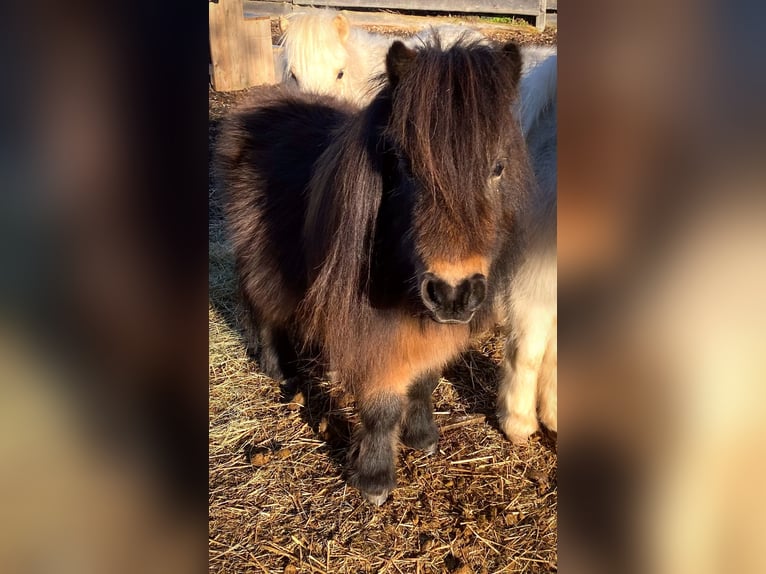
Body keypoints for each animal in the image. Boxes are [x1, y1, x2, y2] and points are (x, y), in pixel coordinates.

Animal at [215, 37, 535, 504]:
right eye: (405, 165)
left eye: (497, 168)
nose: (452, 293)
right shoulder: (372, 336)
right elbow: (382, 408)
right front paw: (375, 479)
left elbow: (424, 382)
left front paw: (423, 438)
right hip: (264, 263)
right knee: (266, 310)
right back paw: (280, 370)